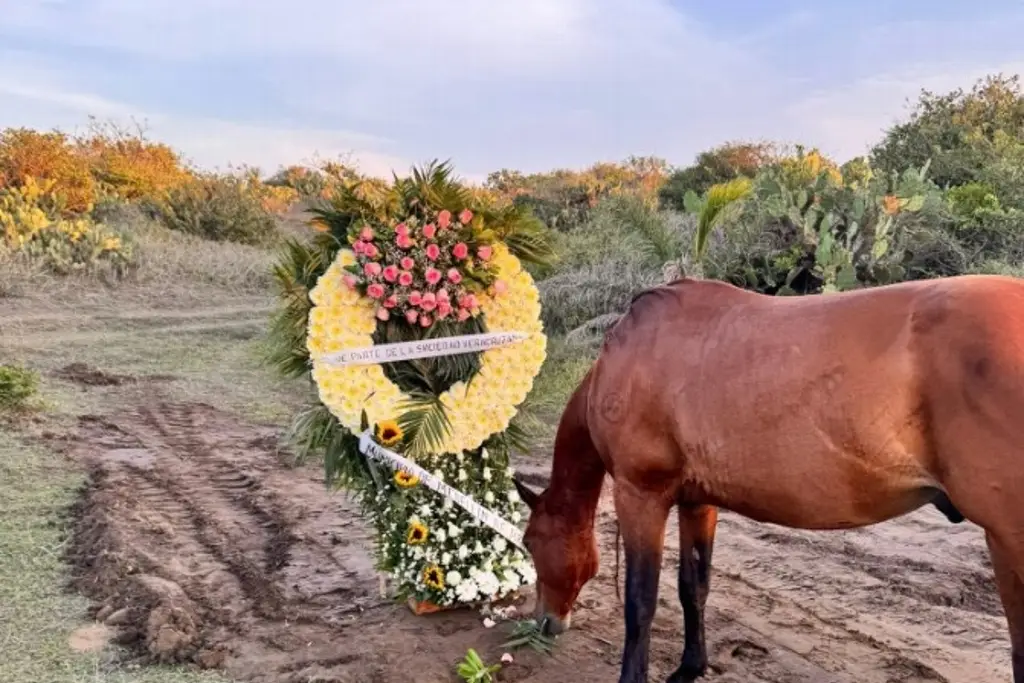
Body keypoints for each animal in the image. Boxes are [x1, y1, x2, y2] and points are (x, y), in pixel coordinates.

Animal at [512, 274, 1024, 683]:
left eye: (530, 542)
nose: (544, 622)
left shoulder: (642, 495)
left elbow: (641, 604)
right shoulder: (698, 501)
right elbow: (693, 587)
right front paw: (689, 668)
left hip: (1008, 539)